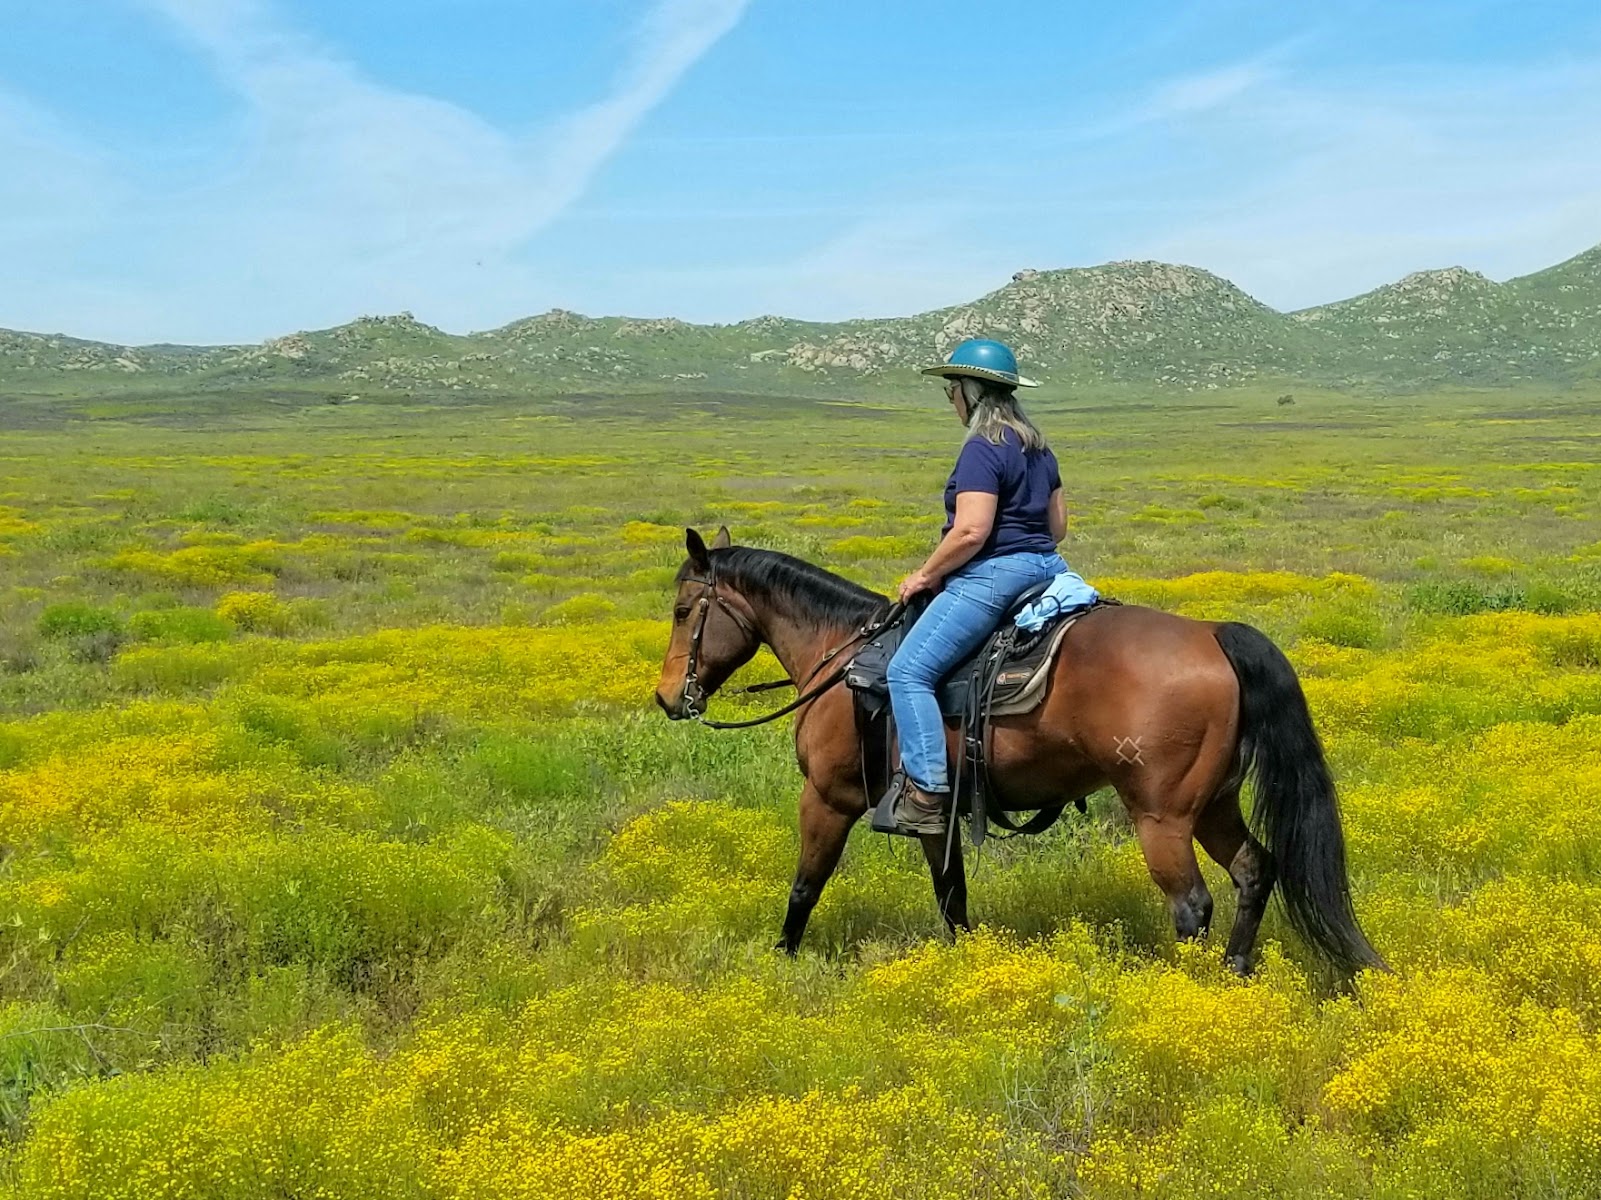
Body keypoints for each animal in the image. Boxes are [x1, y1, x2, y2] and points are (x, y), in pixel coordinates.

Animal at [654, 527, 1384, 977]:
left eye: (684, 610)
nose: (666, 698)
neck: (842, 659)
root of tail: (1212, 634)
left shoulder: (828, 798)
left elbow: (806, 883)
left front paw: (781, 959)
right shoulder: (934, 813)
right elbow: (952, 897)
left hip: (1162, 817)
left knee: (1192, 906)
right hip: (1214, 805)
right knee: (1254, 872)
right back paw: (1234, 973)